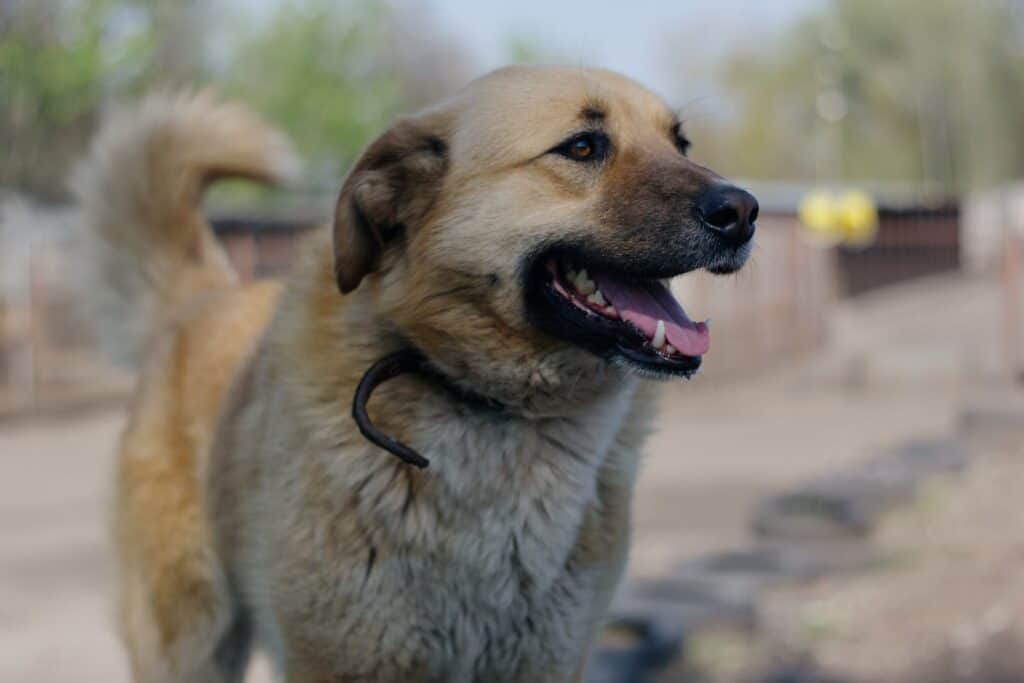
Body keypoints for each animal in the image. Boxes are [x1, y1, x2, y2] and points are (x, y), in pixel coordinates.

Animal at [75, 66, 757, 679]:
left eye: (681, 143)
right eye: (583, 146)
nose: (742, 210)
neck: (494, 412)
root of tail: (203, 298)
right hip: (190, 642)